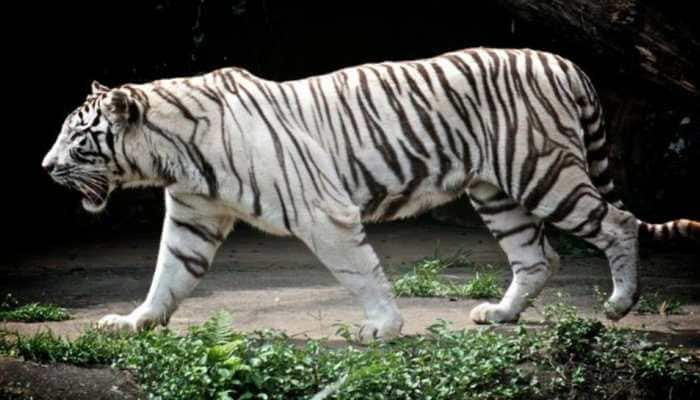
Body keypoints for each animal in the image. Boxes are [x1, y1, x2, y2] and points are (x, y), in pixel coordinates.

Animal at [41, 47, 696, 340]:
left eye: (77, 138)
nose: (45, 167)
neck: (171, 153)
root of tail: (565, 61)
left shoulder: (323, 212)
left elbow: (360, 272)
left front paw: (382, 327)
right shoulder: (193, 217)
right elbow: (168, 274)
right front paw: (134, 321)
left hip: (542, 172)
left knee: (616, 222)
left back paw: (619, 304)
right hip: (496, 192)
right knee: (539, 258)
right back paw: (500, 314)